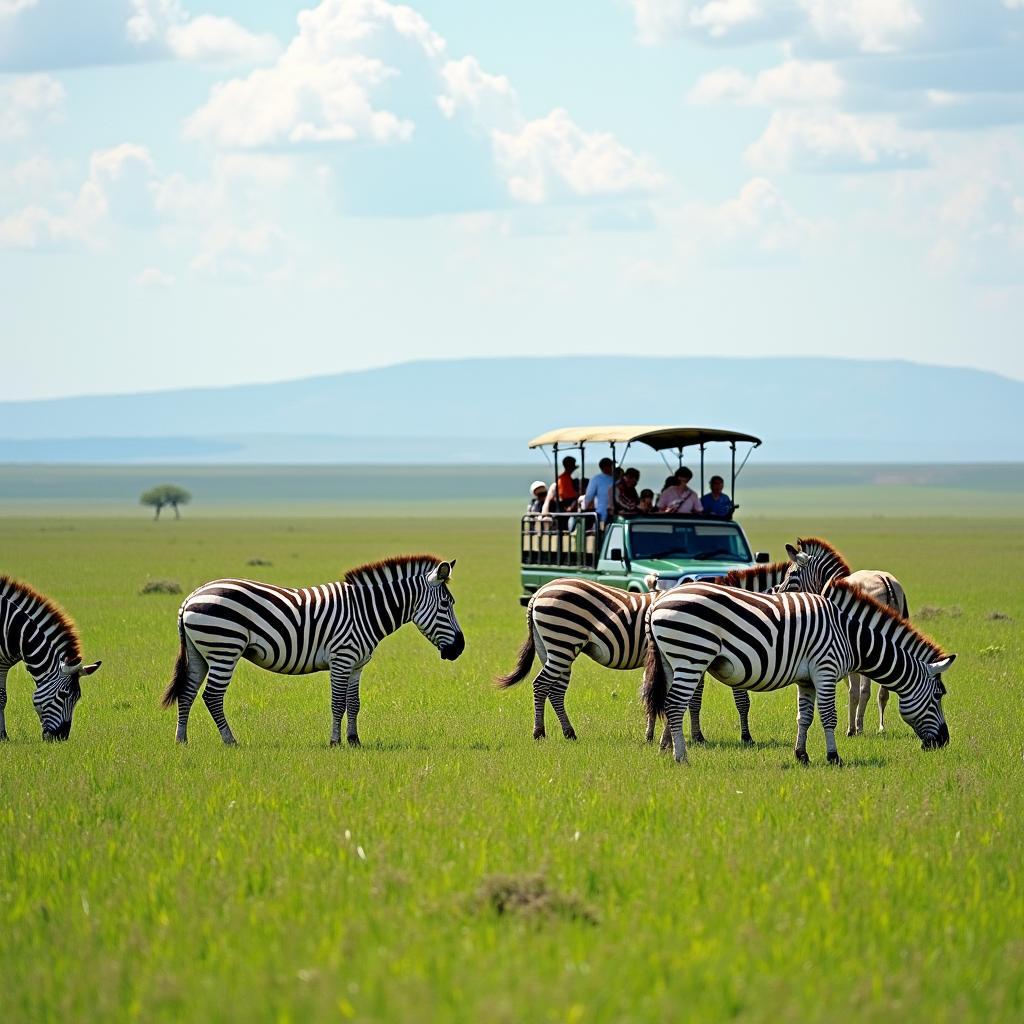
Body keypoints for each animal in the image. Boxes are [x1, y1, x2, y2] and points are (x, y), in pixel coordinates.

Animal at [1, 573, 101, 741]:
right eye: (63, 695)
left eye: (78, 698)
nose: (61, 737)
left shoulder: (3, 665)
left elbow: (2, 698)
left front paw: (3, 736)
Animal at [161, 557, 466, 749]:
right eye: (446, 604)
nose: (460, 648)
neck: (365, 611)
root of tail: (192, 595)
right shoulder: (342, 659)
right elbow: (338, 704)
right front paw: (335, 742)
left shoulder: (357, 665)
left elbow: (354, 704)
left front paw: (355, 741)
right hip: (225, 647)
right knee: (212, 695)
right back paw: (230, 741)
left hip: (200, 653)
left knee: (188, 692)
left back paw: (181, 740)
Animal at [495, 561, 790, 745]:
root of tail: (539, 593)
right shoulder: (696, 656)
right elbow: (724, 701)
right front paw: (732, 737)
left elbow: (684, 699)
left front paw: (656, 734)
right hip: (562, 641)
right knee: (541, 685)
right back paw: (539, 733)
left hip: (554, 647)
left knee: (554, 690)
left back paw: (569, 733)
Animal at [643, 581, 954, 765]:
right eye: (938, 696)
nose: (943, 742)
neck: (850, 636)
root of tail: (658, 600)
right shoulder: (826, 670)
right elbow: (828, 717)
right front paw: (834, 757)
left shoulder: (807, 680)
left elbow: (804, 717)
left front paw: (801, 755)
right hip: (692, 655)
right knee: (675, 705)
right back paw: (681, 757)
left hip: (672, 661)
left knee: (669, 704)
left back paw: (665, 747)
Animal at [778, 540, 917, 733]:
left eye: (792, 573)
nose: (778, 593)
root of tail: (885, 580)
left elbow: (853, 689)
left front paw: (853, 726)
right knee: (883, 691)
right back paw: (880, 726)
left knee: (863, 690)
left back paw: (855, 728)